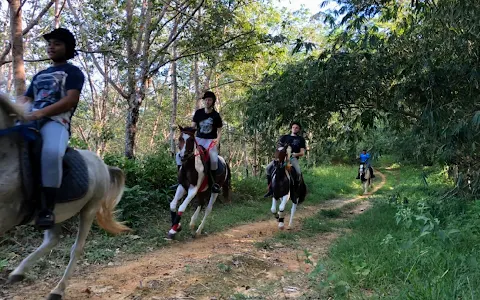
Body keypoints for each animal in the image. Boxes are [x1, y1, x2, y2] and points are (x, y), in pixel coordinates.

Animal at [0, 92, 131, 298]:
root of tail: (102, 164)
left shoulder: (5, 214)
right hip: (56, 211)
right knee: (52, 240)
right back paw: (18, 272)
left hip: (90, 209)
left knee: (76, 249)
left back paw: (57, 290)